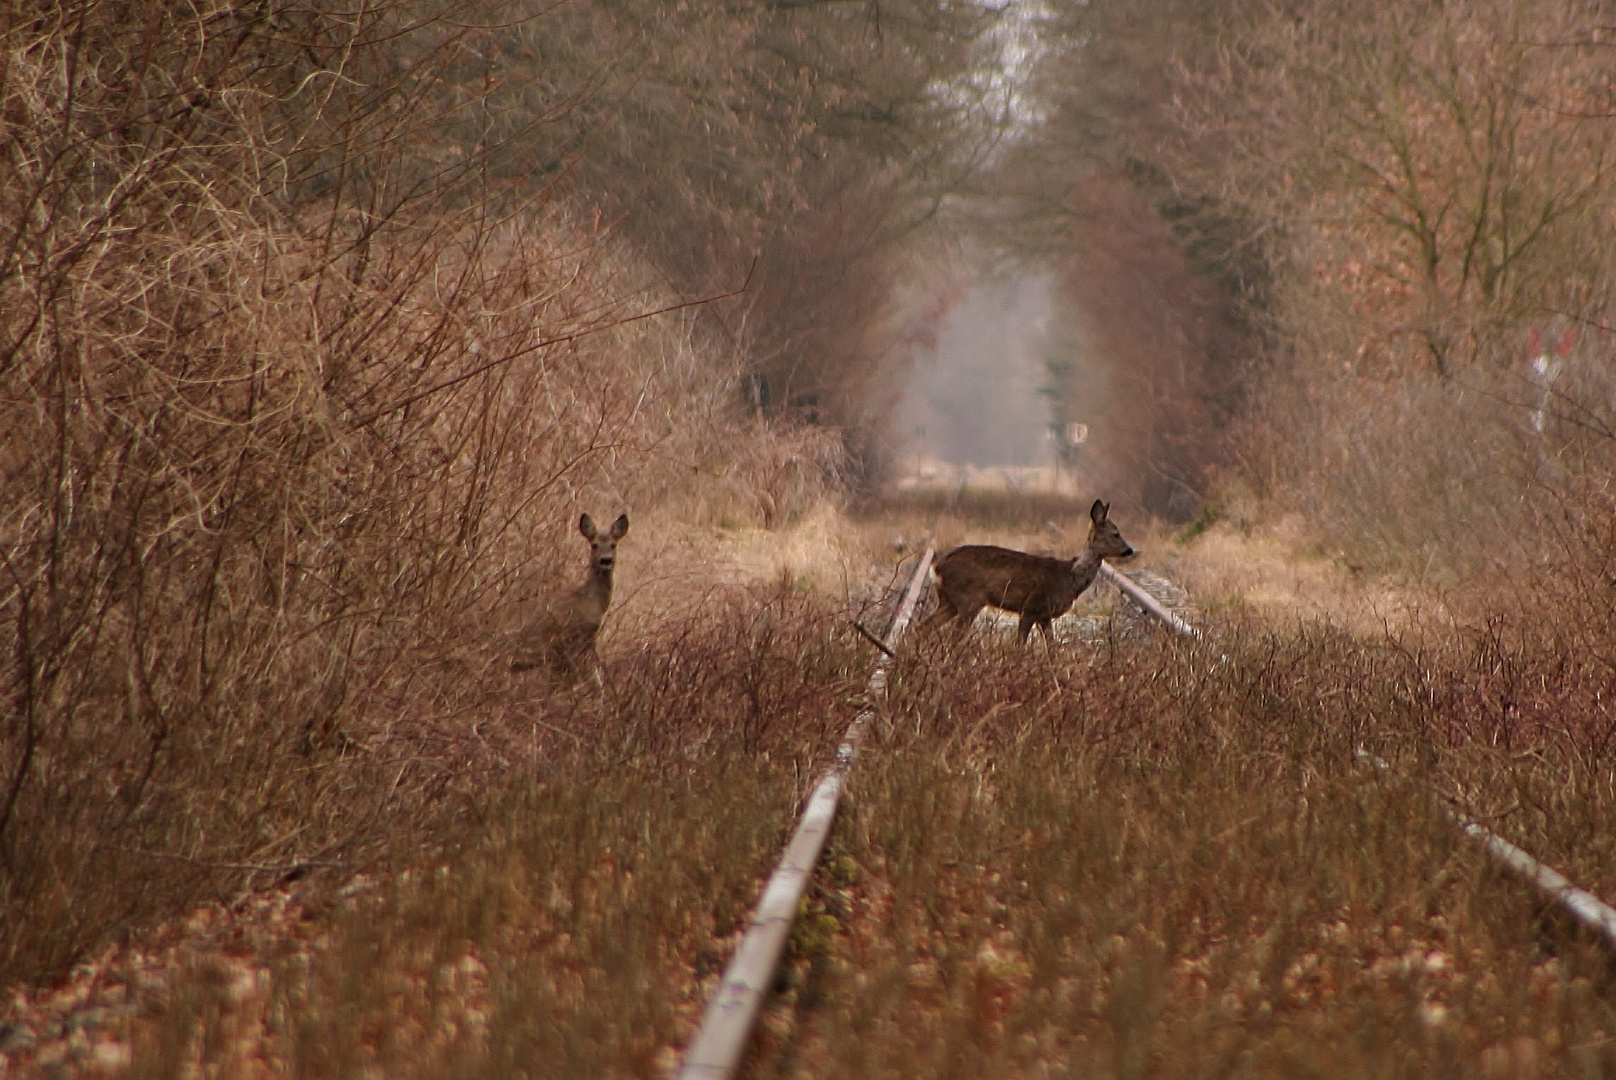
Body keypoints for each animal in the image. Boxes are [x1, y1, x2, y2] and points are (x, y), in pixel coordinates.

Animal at [924, 497, 1137, 640]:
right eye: (1115, 533)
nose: (1129, 550)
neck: (1070, 577)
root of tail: (937, 567)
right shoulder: (1031, 606)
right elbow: (1019, 645)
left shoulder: (1045, 616)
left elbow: (1052, 649)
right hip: (970, 599)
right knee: (953, 637)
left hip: (949, 601)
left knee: (921, 627)